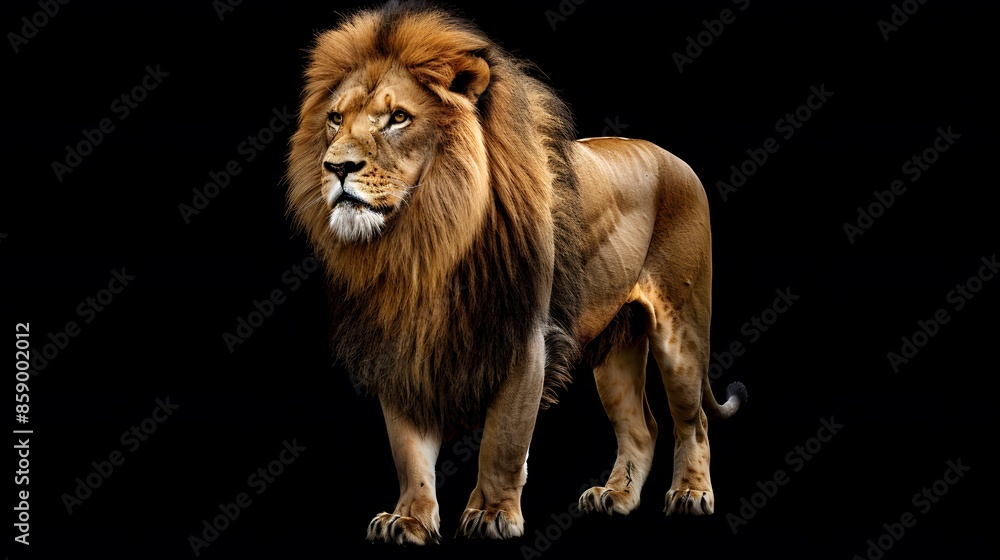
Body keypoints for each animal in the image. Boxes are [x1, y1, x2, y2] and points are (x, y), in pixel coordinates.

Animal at [285, 1, 746, 545]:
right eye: (335, 119)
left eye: (398, 118)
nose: (336, 167)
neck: (423, 244)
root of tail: (674, 157)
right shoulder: (399, 346)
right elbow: (408, 450)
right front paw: (409, 519)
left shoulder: (524, 339)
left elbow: (502, 441)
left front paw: (491, 515)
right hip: (616, 347)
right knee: (642, 427)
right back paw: (615, 496)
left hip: (682, 329)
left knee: (692, 420)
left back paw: (692, 494)